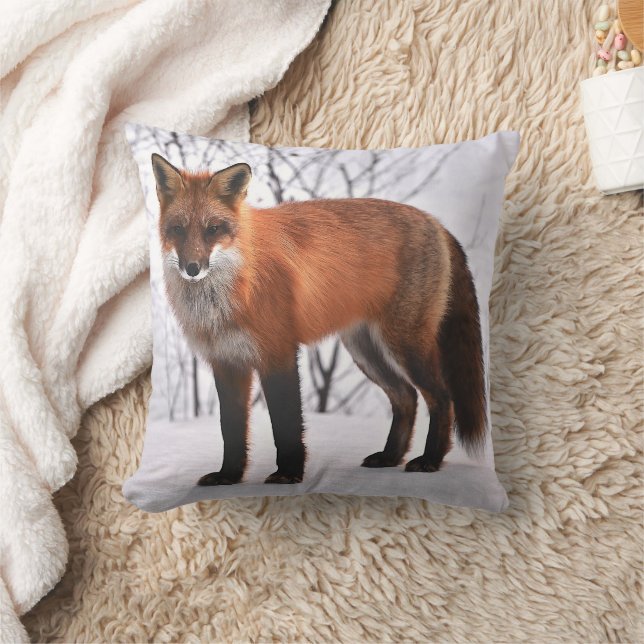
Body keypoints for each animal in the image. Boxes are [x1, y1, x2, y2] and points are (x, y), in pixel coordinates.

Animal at [151, 153, 486, 486]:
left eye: (213, 229)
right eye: (178, 229)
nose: (192, 268)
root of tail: (436, 222)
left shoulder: (279, 353)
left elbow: (286, 423)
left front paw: (288, 474)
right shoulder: (226, 362)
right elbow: (231, 429)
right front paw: (229, 476)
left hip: (405, 345)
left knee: (442, 398)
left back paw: (430, 460)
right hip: (366, 351)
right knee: (406, 397)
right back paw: (391, 457)